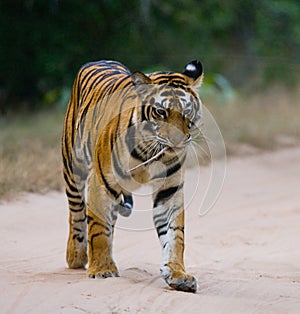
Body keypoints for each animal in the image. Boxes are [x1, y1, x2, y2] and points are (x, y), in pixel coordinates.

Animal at [62, 58, 204, 292]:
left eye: (187, 112)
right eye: (161, 112)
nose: (177, 142)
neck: (149, 150)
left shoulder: (169, 190)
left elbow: (175, 235)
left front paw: (178, 274)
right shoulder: (101, 183)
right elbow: (98, 230)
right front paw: (102, 269)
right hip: (74, 166)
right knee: (77, 212)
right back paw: (76, 255)